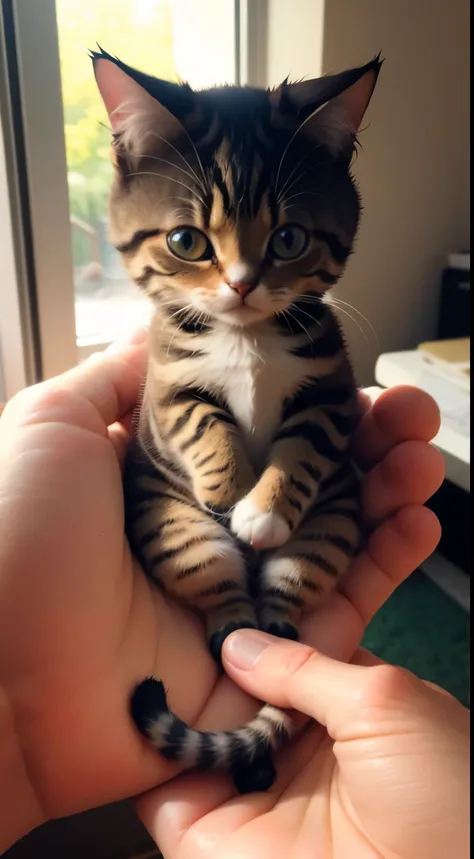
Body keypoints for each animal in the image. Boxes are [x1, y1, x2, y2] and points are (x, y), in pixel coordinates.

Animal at [94, 50, 384, 796]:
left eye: (290, 237)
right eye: (186, 240)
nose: (243, 283)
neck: (246, 334)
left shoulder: (331, 388)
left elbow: (306, 445)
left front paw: (263, 508)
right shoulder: (167, 382)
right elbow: (202, 422)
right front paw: (230, 492)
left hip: (329, 527)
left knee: (277, 613)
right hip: (177, 533)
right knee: (226, 616)